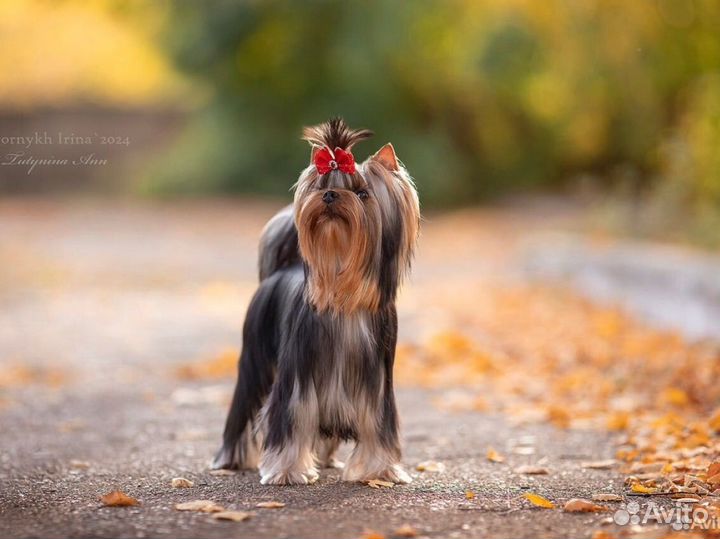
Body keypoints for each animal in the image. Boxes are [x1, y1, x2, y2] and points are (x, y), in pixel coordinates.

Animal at [211, 118, 420, 486]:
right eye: (319, 186)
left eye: (363, 193)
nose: (330, 194)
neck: (343, 297)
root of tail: (285, 267)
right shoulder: (296, 382)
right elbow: (290, 420)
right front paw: (286, 470)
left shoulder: (377, 387)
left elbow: (377, 426)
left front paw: (380, 470)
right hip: (255, 359)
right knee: (244, 404)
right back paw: (231, 459)